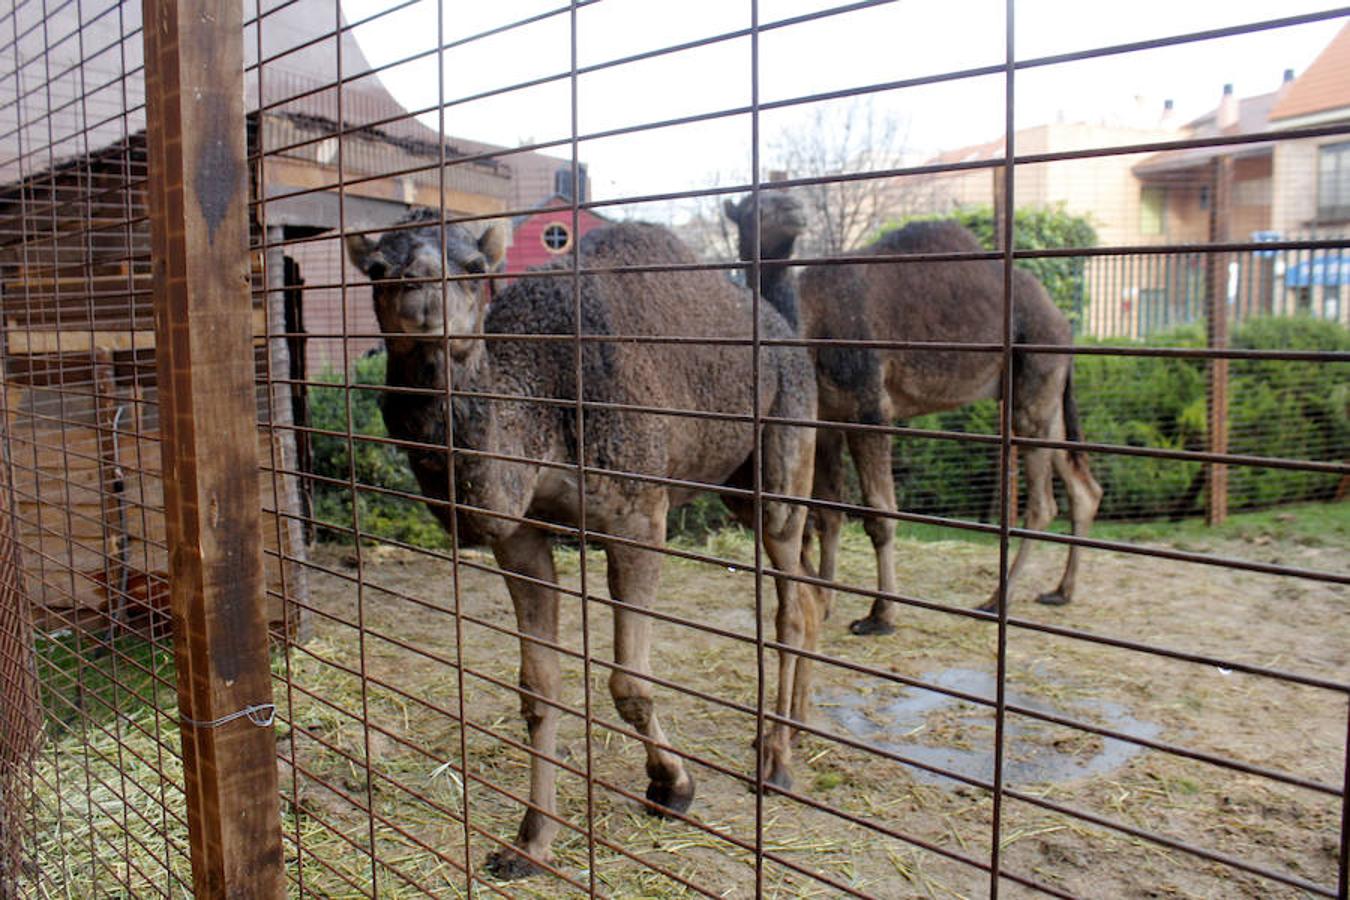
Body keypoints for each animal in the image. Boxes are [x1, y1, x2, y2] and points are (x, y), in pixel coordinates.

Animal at [345, 209, 820, 879]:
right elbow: (537, 689)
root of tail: (783, 331)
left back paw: (776, 762)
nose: (422, 301)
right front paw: (529, 842)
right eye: (379, 268)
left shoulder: (638, 517)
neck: (541, 404)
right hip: (735, 484)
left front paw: (672, 786)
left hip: (784, 445)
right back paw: (790, 731)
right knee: (808, 588)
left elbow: (629, 684)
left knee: (791, 603)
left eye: (474, 267)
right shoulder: (520, 537)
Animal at [723, 194, 1101, 636]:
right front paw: (826, 601)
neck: (810, 324)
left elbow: (879, 514)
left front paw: (881, 615)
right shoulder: (827, 419)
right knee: (1082, 485)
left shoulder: (869, 407)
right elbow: (829, 512)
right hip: (1044, 389)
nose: (793, 208)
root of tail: (1064, 322)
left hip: (1036, 370)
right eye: (752, 206)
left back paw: (996, 600)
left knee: (1042, 501)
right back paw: (1061, 590)